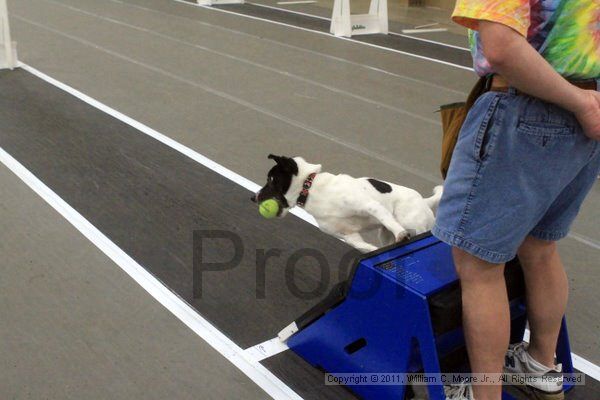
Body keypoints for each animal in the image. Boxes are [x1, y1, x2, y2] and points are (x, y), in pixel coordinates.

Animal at [251, 155, 442, 252]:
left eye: (271, 180)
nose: (254, 197)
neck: (311, 189)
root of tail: (424, 201)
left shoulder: (370, 205)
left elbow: (387, 219)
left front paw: (401, 234)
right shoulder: (349, 235)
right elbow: (362, 246)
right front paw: (372, 251)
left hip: (411, 222)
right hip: (384, 234)